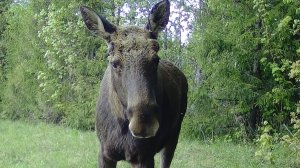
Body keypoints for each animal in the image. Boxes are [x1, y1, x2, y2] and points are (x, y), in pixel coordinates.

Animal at [79, 0, 188, 167]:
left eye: (155, 59)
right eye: (114, 63)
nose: (143, 122)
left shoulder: (144, 157)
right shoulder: (105, 153)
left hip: (174, 136)